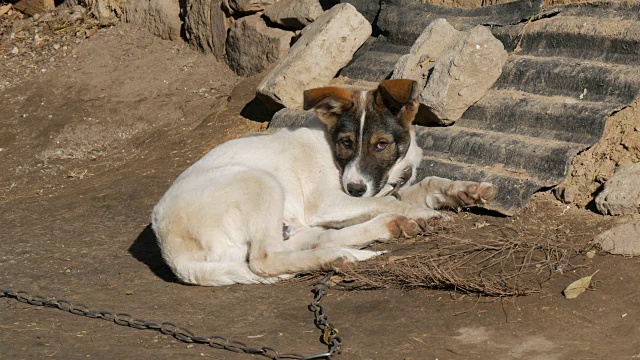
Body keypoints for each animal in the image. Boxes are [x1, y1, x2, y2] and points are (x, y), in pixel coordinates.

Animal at [151, 80, 496, 286]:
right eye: (345, 142)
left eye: (381, 145)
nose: (354, 188)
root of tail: (171, 250)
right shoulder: (328, 201)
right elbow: (385, 199)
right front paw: (424, 213)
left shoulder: (377, 187)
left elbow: (424, 185)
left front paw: (465, 190)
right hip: (260, 183)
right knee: (265, 259)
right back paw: (341, 253)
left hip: (284, 221)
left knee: (316, 239)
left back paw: (377, 233)